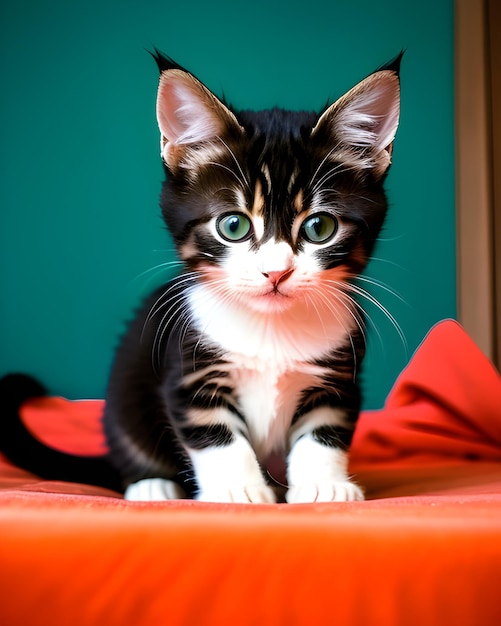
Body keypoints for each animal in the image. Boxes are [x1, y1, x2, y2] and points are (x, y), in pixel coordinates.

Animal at [102, 50, 398, 502]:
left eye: (319, 228)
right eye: (234, 226)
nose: (276, 271)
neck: (270, 328)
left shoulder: (339, 375)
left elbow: (324, 430)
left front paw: (323, 485)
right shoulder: (189, 370)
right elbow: (216, 435)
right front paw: (236, 491)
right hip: (125, 393)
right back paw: (152, 484)